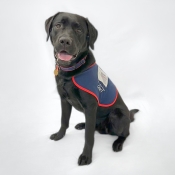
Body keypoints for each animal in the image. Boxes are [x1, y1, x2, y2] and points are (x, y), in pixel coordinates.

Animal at [45, 12, 139, 165]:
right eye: (58, 25)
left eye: (79, 30)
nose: (65, 41)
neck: (70, 72)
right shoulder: (64, 100)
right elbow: (64, 121)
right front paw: (59, 135)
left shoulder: (90, 107)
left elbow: (88, 136)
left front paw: (86, 156)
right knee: (93, 126)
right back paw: (82, 125)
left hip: (117, 116)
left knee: (125, 133)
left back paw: (118, 143)